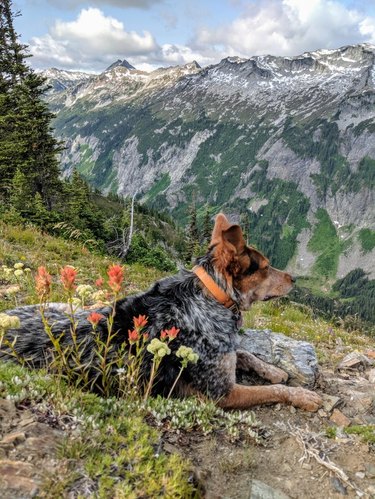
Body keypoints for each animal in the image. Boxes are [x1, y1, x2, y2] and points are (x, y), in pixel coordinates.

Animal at [0, 213, 324, 412]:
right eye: (266, 267)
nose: (294, 279)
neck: (211, 295)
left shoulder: (226, 354)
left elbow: (245, 353)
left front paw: (273, 369)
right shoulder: (221, 393)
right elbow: (274, 390)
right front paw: (304, 396)